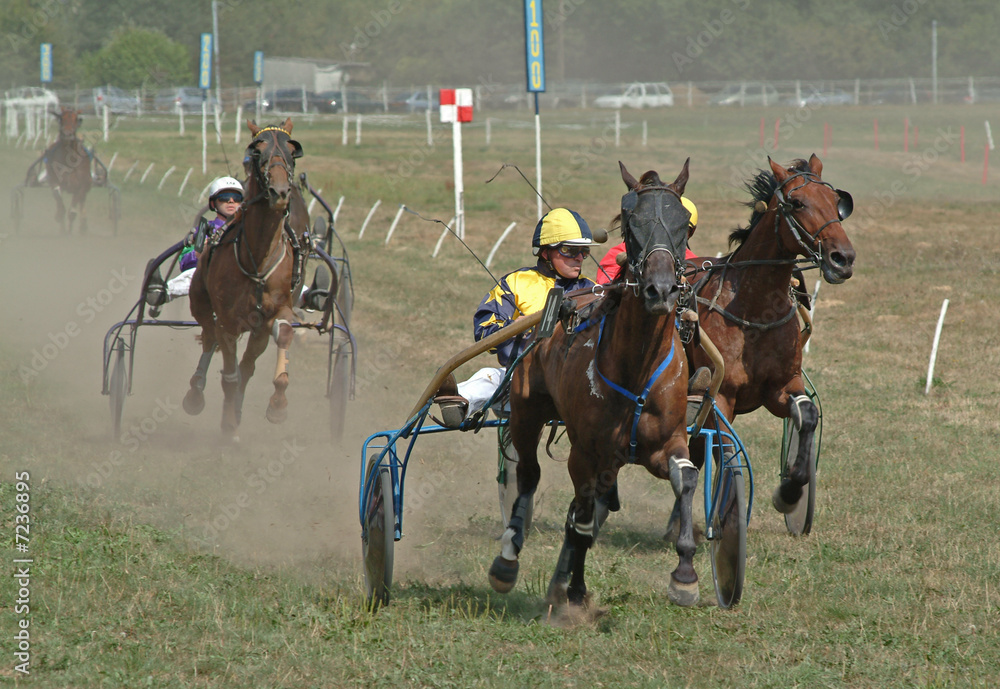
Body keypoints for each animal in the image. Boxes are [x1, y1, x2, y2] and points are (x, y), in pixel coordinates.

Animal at [186, 117, 306, 440]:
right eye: (256, 151)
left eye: (293, 151)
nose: (280, 191)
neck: (258, 257)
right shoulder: (228, 321)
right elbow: (228, 373)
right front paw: (229, 424)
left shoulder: (277, 311)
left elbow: (283, 335)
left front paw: (277, 406)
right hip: (200, 301)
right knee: (210, 336)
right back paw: (196, 393)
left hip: (257, 330)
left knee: (247, 363)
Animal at [488, 161, 700, 608]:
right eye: (631, 223)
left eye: (683, 225)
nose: (660, 289)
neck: (636, 368)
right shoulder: (586, 454)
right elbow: (581, 522)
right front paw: (574, 593)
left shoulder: (666, 442)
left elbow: (686, 480)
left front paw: (685, 574)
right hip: (527, 412)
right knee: (528, 475)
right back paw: (508, 558)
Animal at [688, 153, 860, 520]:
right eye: (797, 203)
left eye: (836, 202)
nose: (843, 259)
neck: (755, 314)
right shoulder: (721, 398)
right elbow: (726, 453)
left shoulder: (782, 387)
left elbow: (807, 416)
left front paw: (790, 492)